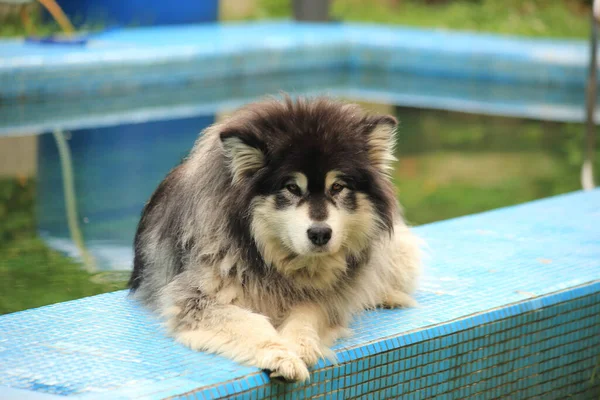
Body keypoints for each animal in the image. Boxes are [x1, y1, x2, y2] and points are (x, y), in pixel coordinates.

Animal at [129, 96, 420, 382]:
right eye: (292, 188)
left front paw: (300, 345)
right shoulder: (196, 299)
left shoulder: (327, 298)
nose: (320, 233)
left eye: (337, 187)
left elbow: (307, 313)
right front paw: (280, 355)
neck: (271, 259)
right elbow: (249, 322)